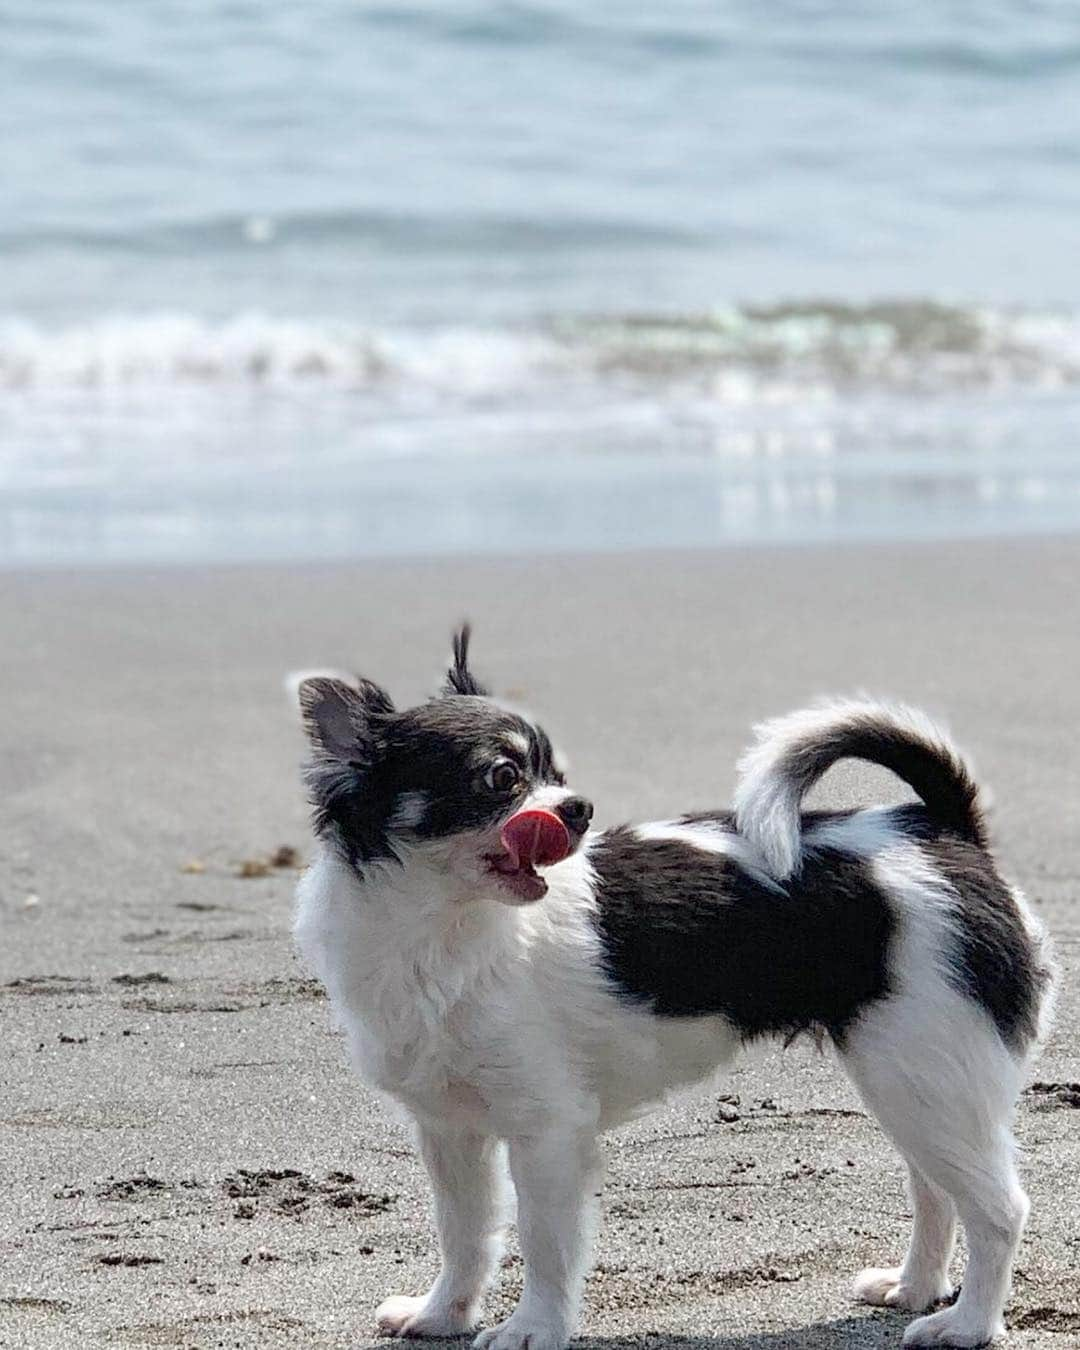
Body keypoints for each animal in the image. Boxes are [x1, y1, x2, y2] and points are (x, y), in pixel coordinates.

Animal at [291, 631, 1053, 1350]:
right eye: (501, 777)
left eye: (555, 775)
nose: (578, 808)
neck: (447, 927)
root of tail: (942, 831)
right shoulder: (451, 1131)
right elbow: (465, 1234)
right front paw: (442, 1315)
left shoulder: (547, 1131)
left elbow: (543, 1242)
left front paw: (533, 1328)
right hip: (911, 1082)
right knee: (936, 1191)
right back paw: (915, 1289)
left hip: (926, 1076)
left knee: (998, 1209)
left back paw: (969, 1324)